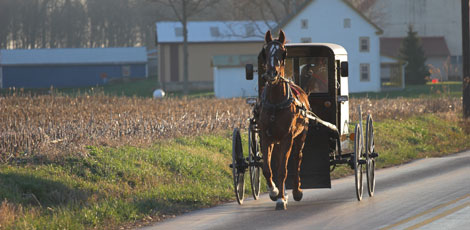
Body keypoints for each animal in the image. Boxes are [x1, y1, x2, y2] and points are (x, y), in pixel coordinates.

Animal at [258, 30, 310, 210]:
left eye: (282, 52)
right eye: (265, 52)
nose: (271, 74)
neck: (275, 102)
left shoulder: (288, 137)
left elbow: (282, 171)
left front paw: (281, 199)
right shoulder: (265, 137)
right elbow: (267, 169)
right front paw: (274, 192)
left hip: (300, 136)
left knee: (297, 159)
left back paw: (296, 191)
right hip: (277, 141)